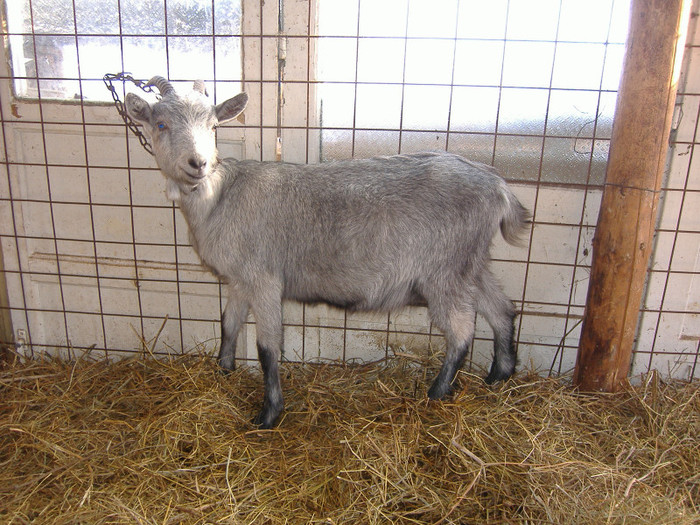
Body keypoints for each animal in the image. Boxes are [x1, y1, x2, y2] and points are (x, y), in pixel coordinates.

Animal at [124, 75, 532, 426]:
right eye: (160, 124)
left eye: (212, 126)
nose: (199, 163)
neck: (221, 196)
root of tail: (498, 187)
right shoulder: (239, 280)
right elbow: (229, 325)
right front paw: (223, 373)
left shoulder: (264, 279)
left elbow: (267, 348)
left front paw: (268, 414)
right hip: (471, 263)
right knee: (501, 309)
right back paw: (499, 375)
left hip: (445, 271)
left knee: (462, 330)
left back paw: (437, 392)